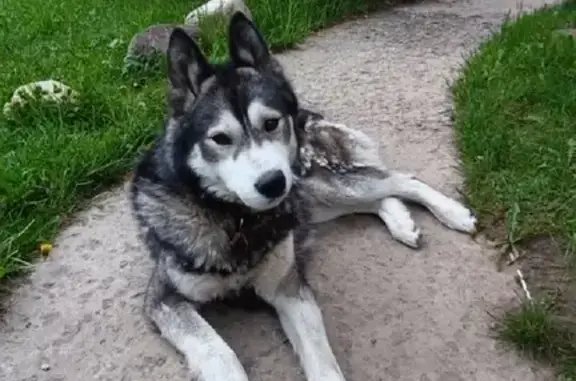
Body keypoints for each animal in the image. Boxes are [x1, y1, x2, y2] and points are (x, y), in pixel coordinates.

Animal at [129, 11, 476, 380]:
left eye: (271, 123)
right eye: (220, 138)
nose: (272, 183)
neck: (235, 220)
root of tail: (309, 115)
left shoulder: (287, 287)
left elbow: (320, 357)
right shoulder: (164, 299)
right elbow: (217, 351)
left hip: (309, 185)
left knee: (398, 179)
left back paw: (452, 213)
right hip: (308, 201)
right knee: (374, 194)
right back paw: (401, 221)